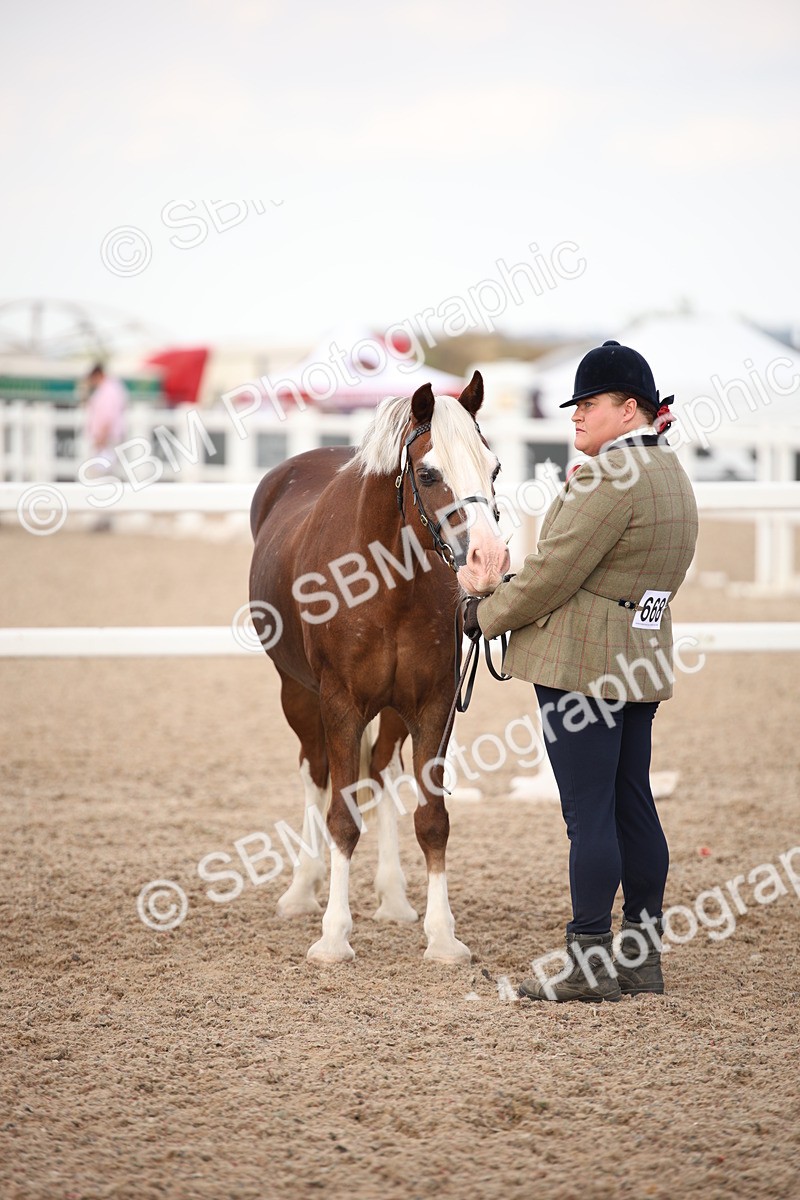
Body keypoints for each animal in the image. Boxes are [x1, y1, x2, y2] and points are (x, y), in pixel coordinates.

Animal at [249, 371, 510, 963]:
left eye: (495, 468)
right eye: (429, 473)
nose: (488, 563)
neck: (382, 583)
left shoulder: (432, 705)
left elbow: (431, 820)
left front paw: (442, 936)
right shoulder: (340, 703)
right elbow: (341, 817)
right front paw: (333, 936)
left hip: (391, 712)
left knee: (383, 773)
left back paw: (392, 896)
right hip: (296, 695)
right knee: (316, 773)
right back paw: (302, 889)